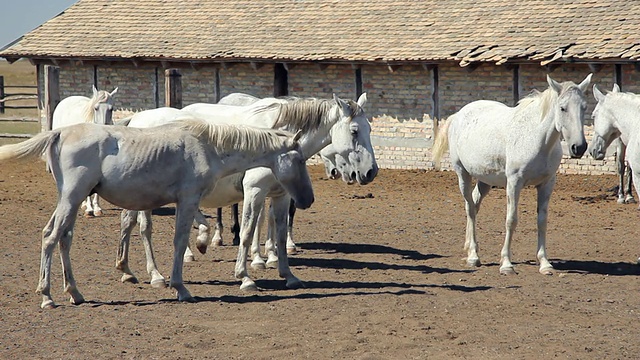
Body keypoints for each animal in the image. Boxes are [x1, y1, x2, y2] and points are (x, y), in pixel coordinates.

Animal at [0, 119, 312, 308]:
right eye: (298, 159)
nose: (308, 199)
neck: (207, 147)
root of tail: (60, 132)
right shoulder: (188, 200)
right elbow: (180, 241)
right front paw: (181, 288)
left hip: (70, 201)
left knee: (63, 237)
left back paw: (75, 293)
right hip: (72, 198)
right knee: (51, 237)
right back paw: (47, 296)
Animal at [119, 93, 376, 290]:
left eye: (370, 128)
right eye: (354, 131)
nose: (371, 171)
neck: (275, 143)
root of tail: (138, 119)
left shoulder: (281, 195)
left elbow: (278, 233)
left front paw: (288, 275)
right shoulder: (255, 191)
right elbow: (247, 232)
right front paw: (245, 276)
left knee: (130, 223)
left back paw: (130, 269)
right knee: (144, 229)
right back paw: (156, 275)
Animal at [432, 74, 592, 276]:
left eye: (584, 107)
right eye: (563, 108)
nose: (579, 147)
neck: (535, 138)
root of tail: (457, 115)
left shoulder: (547, 184)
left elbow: (542, 221)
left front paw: (544, 263)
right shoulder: (514, 183)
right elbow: (511, 220)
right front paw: (506, 264)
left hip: (485, 180)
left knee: (475, 205)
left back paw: (470, 248)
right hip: (463, 174)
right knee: (469, 208)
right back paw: (473, 256)